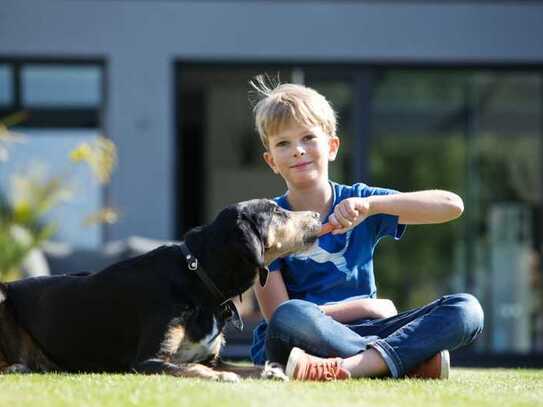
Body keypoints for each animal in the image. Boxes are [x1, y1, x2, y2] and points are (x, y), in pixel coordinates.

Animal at [0, 199, 324, 380]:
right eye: (276, 212)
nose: (318, 215)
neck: (200, 280)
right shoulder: (147, 361)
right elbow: (195, 369)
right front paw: (223, 378)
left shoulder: (213, 358)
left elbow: (250, 368)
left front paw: (272, 371)